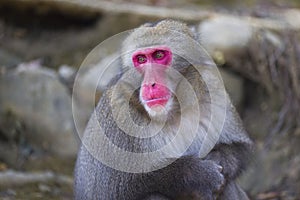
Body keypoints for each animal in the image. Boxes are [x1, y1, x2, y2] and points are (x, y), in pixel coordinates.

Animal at [74, 19, 252, 200]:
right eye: (141, 59)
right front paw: (198, 175)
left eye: (159, 56)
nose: (150, 84)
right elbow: (111, 190)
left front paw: (219, 158)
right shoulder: (117, 112)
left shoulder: (212, 86)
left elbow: (241, 148)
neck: (173, 112)